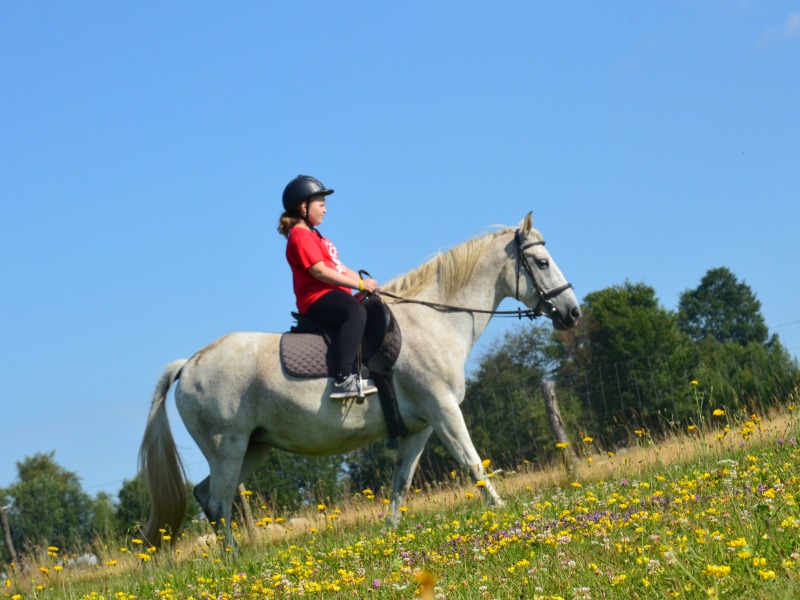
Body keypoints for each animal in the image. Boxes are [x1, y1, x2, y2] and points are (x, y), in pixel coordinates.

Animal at [136, 213, 576, 548]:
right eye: (541, 263)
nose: (572, 313)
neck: (433, 321)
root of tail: (188, 365)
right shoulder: (444, 410)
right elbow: (473, 465)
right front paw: (504, 514)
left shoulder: (420, 426)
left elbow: (401, 483)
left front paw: (392, 535)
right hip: (227, 448)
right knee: (220, 502)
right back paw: (236, 563)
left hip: (252, 448)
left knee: (206, 495)